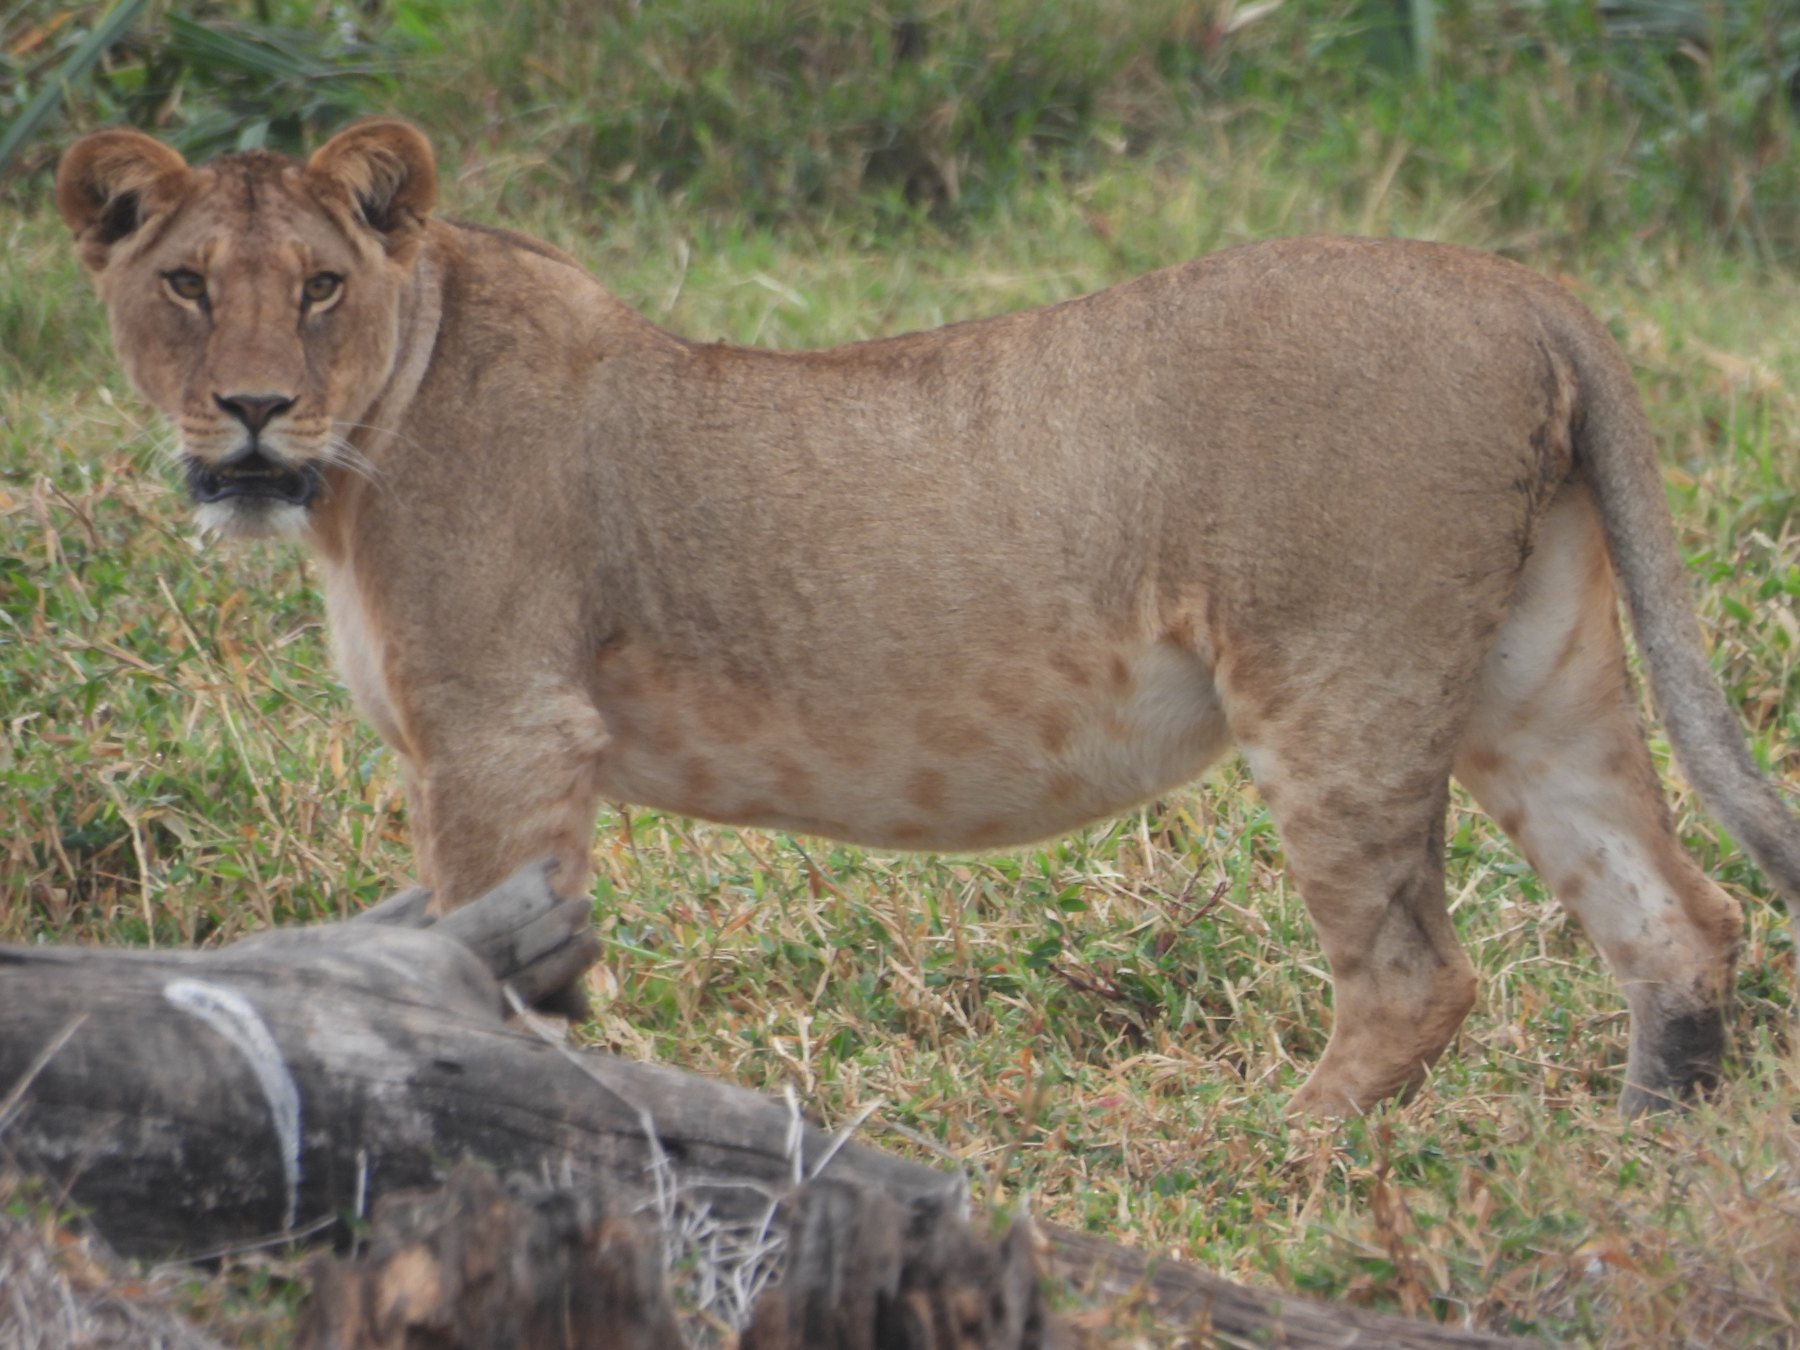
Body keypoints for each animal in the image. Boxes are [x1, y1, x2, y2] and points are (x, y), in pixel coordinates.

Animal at [57, 118, 1800, 1117]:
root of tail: (1526, 285)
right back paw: (1642, 1148)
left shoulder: (502, 728)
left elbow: (499, 968)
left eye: (321, 285)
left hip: (1339, 684)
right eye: (190, 283)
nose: (253, 412)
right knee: (1678, 915)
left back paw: (1270, 1155)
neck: (370, 444)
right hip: (1530, 674)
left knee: (1414, 978)